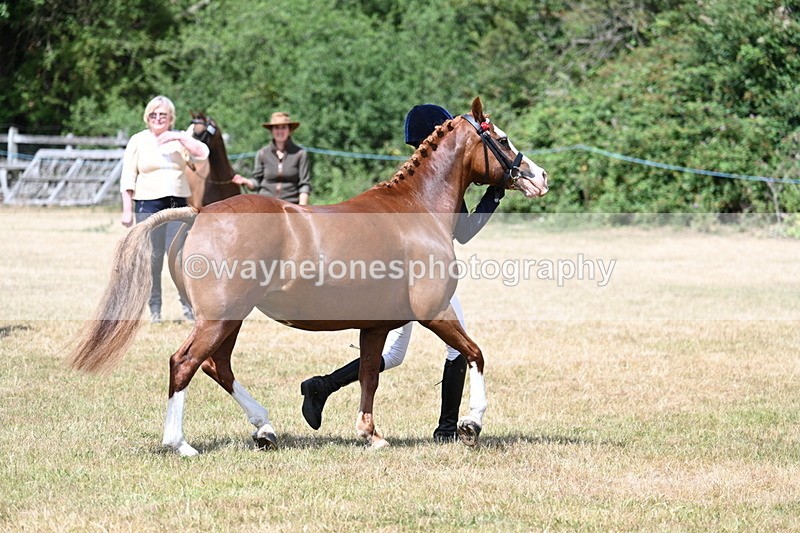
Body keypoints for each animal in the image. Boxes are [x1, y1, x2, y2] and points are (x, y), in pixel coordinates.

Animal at [68, 98, 549, 456]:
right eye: (502, 138)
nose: (539, 177)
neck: (416, 211)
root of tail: (199, 212)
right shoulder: (434, 312)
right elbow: (476, 355)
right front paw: (470, 424)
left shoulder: (375, 326)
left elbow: (370, 374)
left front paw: (370, 435)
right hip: (220, 317)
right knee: (184, 363)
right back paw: (181, 443)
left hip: (230, 319)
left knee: (216, 365)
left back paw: (264, 429)